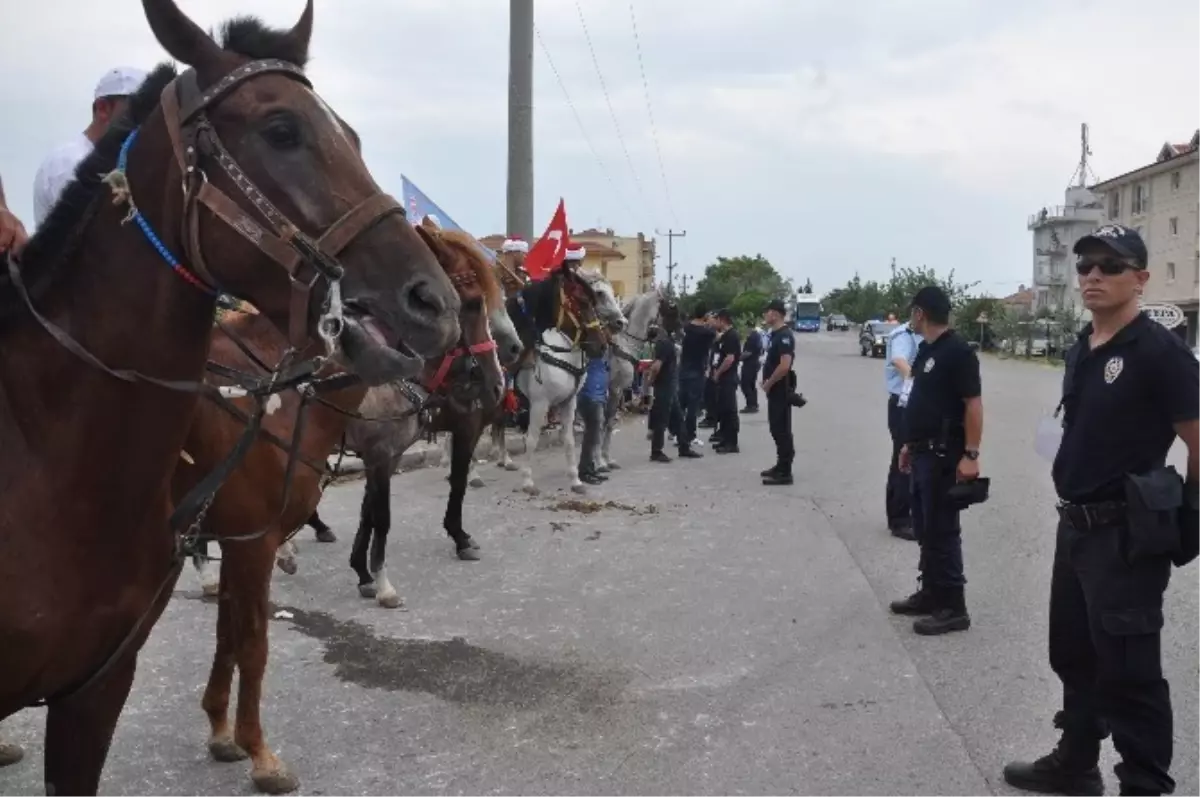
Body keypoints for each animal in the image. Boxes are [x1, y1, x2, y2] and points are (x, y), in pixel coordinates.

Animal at [0, 3, 460, 792]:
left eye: (353, 136)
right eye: (281, 130)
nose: (432, 302)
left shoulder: (97, 688)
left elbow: (236, 635)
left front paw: (226, 732)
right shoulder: (249, 541)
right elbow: (251, 638)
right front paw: (252, 745)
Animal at [177, 218, 511, 792]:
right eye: (471, 301)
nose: (496, 383)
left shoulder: (378, 456)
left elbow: (367, 516)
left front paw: (363, 572)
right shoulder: (378, 454)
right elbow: (383, 518)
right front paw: (382, 581)